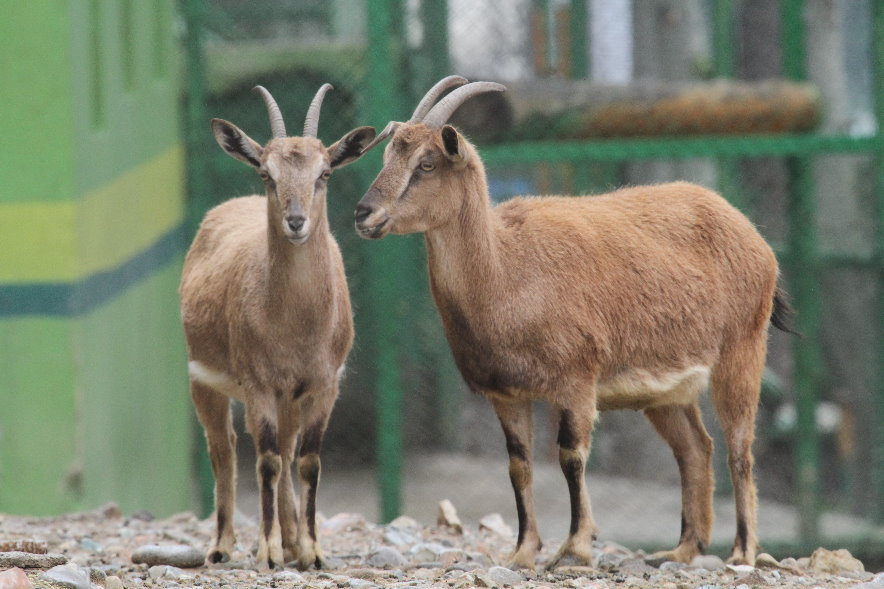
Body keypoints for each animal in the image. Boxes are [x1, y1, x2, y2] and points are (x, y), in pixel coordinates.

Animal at [180, 84, 375, 570]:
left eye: (325, 172)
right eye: (267, 174)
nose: (296, 221)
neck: (296, 325)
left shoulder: (323, 384)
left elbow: (308, 461)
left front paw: (312, 551)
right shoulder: (258, 384)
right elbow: (265, 460)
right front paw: (268, 552)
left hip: (289, 397)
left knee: (286, 452)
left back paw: (290, 541)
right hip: (204, 380)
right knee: (225, 449)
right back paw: (222, 545)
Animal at [354, 76, 794, 569]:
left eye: (426, 164)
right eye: (388, 157)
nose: (363, 213)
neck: (505, 271)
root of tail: (755, 239)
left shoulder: (575, 381)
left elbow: (571, 456)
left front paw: (574, 547)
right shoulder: (505, 394)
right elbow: (519, 464)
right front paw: (522, 551)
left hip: (742, 351)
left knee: (740, 450)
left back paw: (741, 550)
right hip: (666, 392)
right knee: (696, 448)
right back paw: (680, 549)